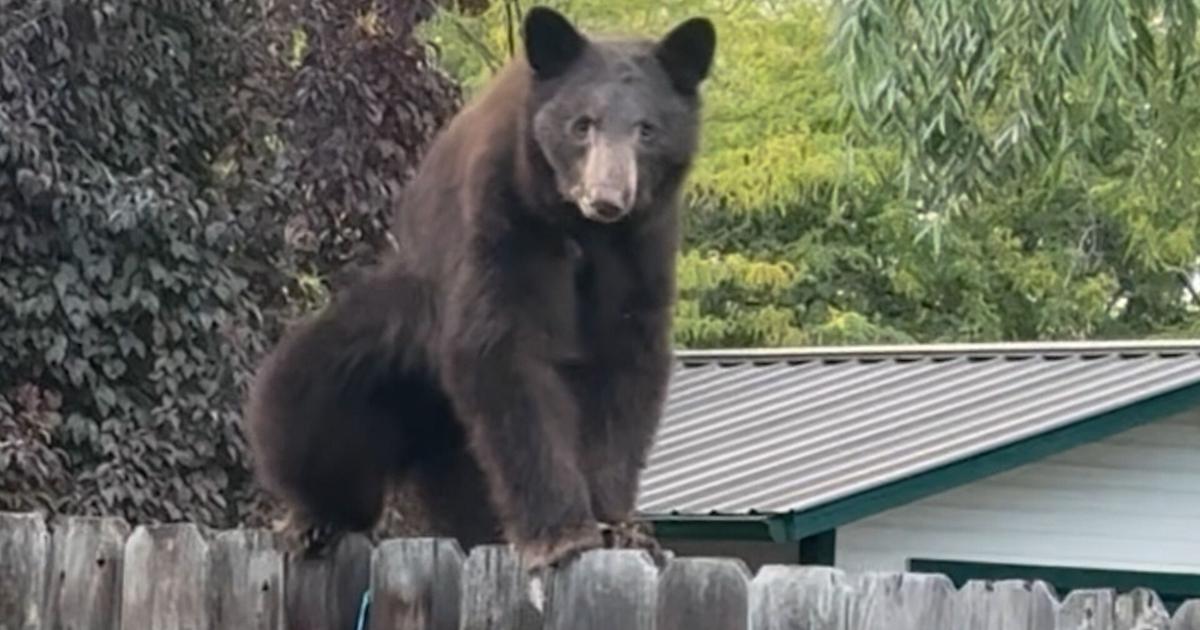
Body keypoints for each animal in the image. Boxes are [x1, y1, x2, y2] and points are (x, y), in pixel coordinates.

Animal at [242, 5, 716, 570]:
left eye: (647, 130)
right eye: (582, 125)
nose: (607, 197)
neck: (579, 227)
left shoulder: (642, 244)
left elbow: (625, 361)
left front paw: (619, 524)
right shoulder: (503, 214)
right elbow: (503, 347)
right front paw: (562, 534)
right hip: (394, 344)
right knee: (307, 400)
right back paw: (317, 518)